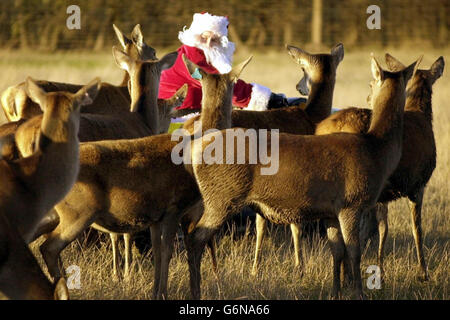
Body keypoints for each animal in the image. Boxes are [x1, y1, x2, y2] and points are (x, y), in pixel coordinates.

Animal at [185, 55, 420, 300]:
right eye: (371, 83)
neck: (377, 151)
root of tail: (196, 148)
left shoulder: (331, 211)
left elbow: (337, 250)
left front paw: (335, 291)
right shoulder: (351, 203)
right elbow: (354, 252)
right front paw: (358, 293)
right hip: (221, 196)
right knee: (195, 238)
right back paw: (197, 289)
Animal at [314, 54, 444, 280]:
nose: (368, 97)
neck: (422, 116)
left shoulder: (384, 194)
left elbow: (383, 228)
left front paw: (380, 267)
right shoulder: (418, 183)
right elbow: (416, 228)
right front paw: (423, 272)